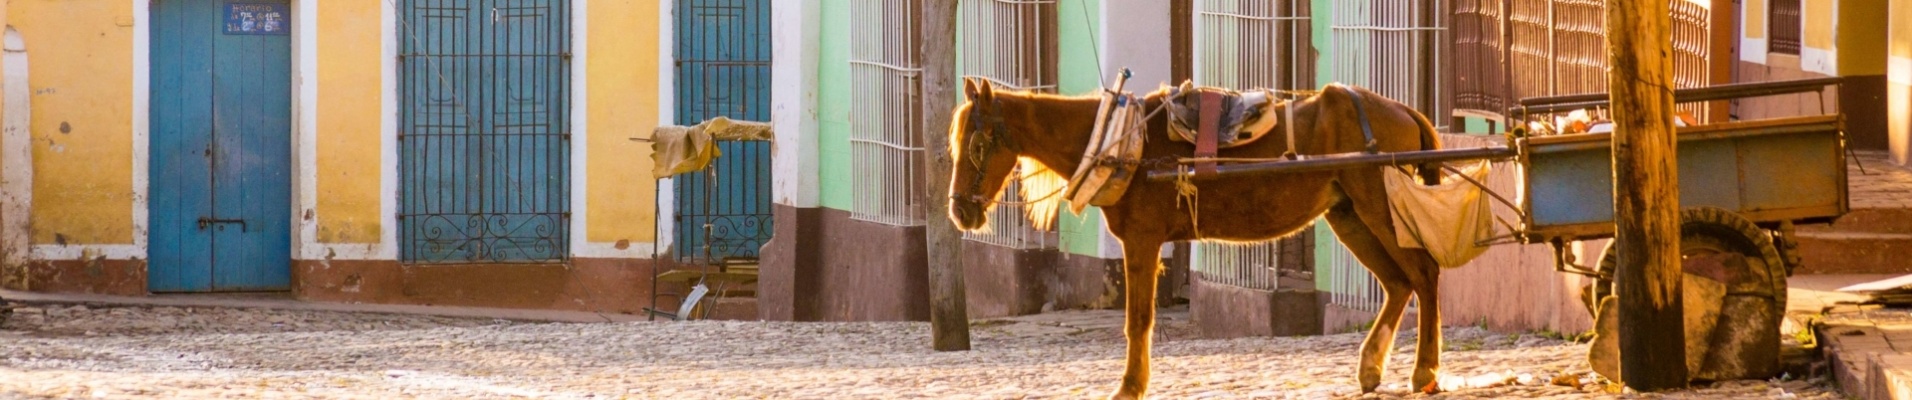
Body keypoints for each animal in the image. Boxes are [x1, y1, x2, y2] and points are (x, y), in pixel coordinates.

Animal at [940, 77, 1445, 396]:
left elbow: (1138, 320)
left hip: (1378, 207)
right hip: (1349, 216)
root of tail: (1403, 110)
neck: (1118, 144)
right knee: (1398, 283)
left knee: (1424, 274)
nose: (961, 211)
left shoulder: (1141, 241)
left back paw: (1424, 371)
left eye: (978, 144)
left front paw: (1129, 387)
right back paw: (1371, 366)